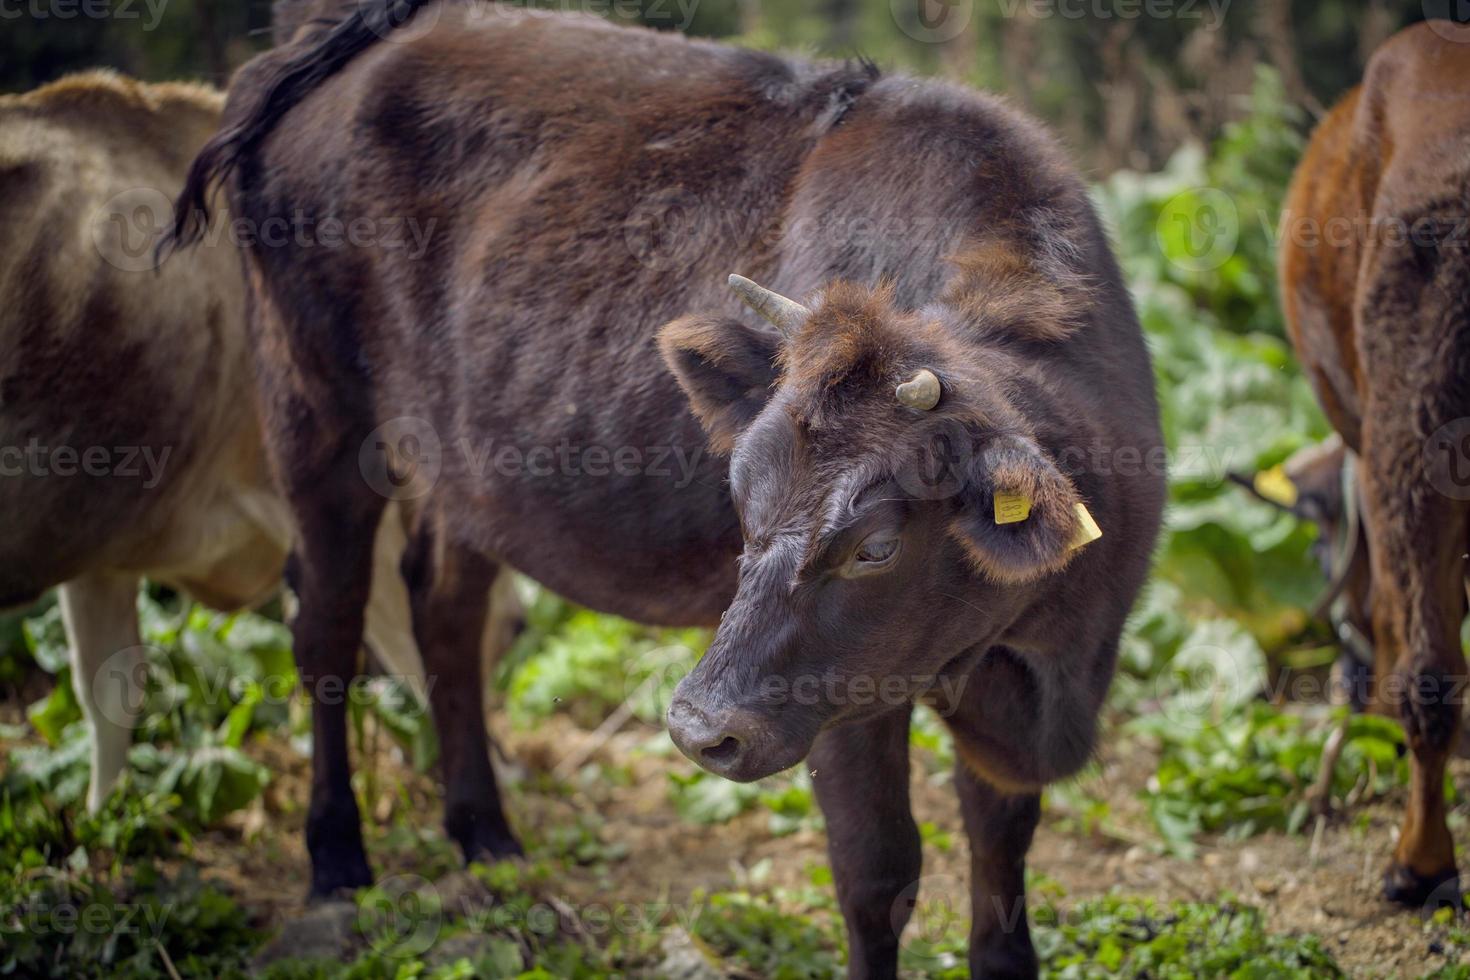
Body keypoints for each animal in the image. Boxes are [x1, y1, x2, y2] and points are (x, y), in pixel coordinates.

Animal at [169, 3, 1158, 975]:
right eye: (743, 504)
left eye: (877, 544)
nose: (695, 727)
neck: (1042, 661)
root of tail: (343, 37)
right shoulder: (845, 705)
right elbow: (879, 874)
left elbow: (1001, 853)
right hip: (313, 412)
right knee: (325, 626)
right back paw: (337, 862)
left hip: (467, 467)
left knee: (444, 607)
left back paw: (487, 838)